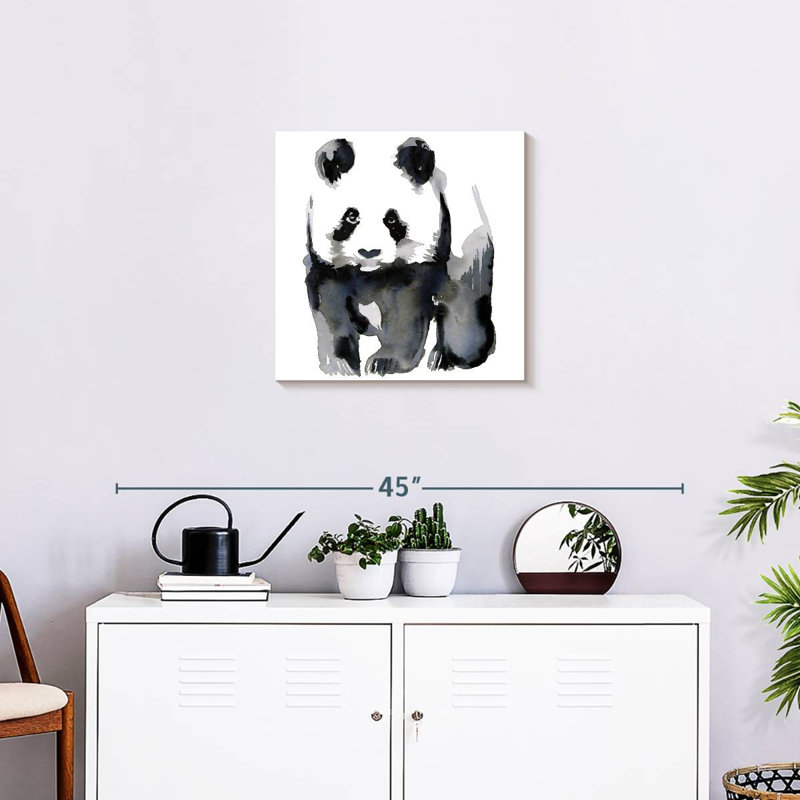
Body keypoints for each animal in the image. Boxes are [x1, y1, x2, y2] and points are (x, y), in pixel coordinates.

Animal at [304, 136, 495, 376]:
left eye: (392, 219)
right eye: (351, 216)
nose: (369, 252)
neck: (370, 273)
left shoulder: (424, 258)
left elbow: (406, 310)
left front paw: (384, 362)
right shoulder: (328, 265)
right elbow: (330, 305)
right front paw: (341, 365)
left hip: (468, 247)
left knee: (463, 300)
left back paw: (448, 356)